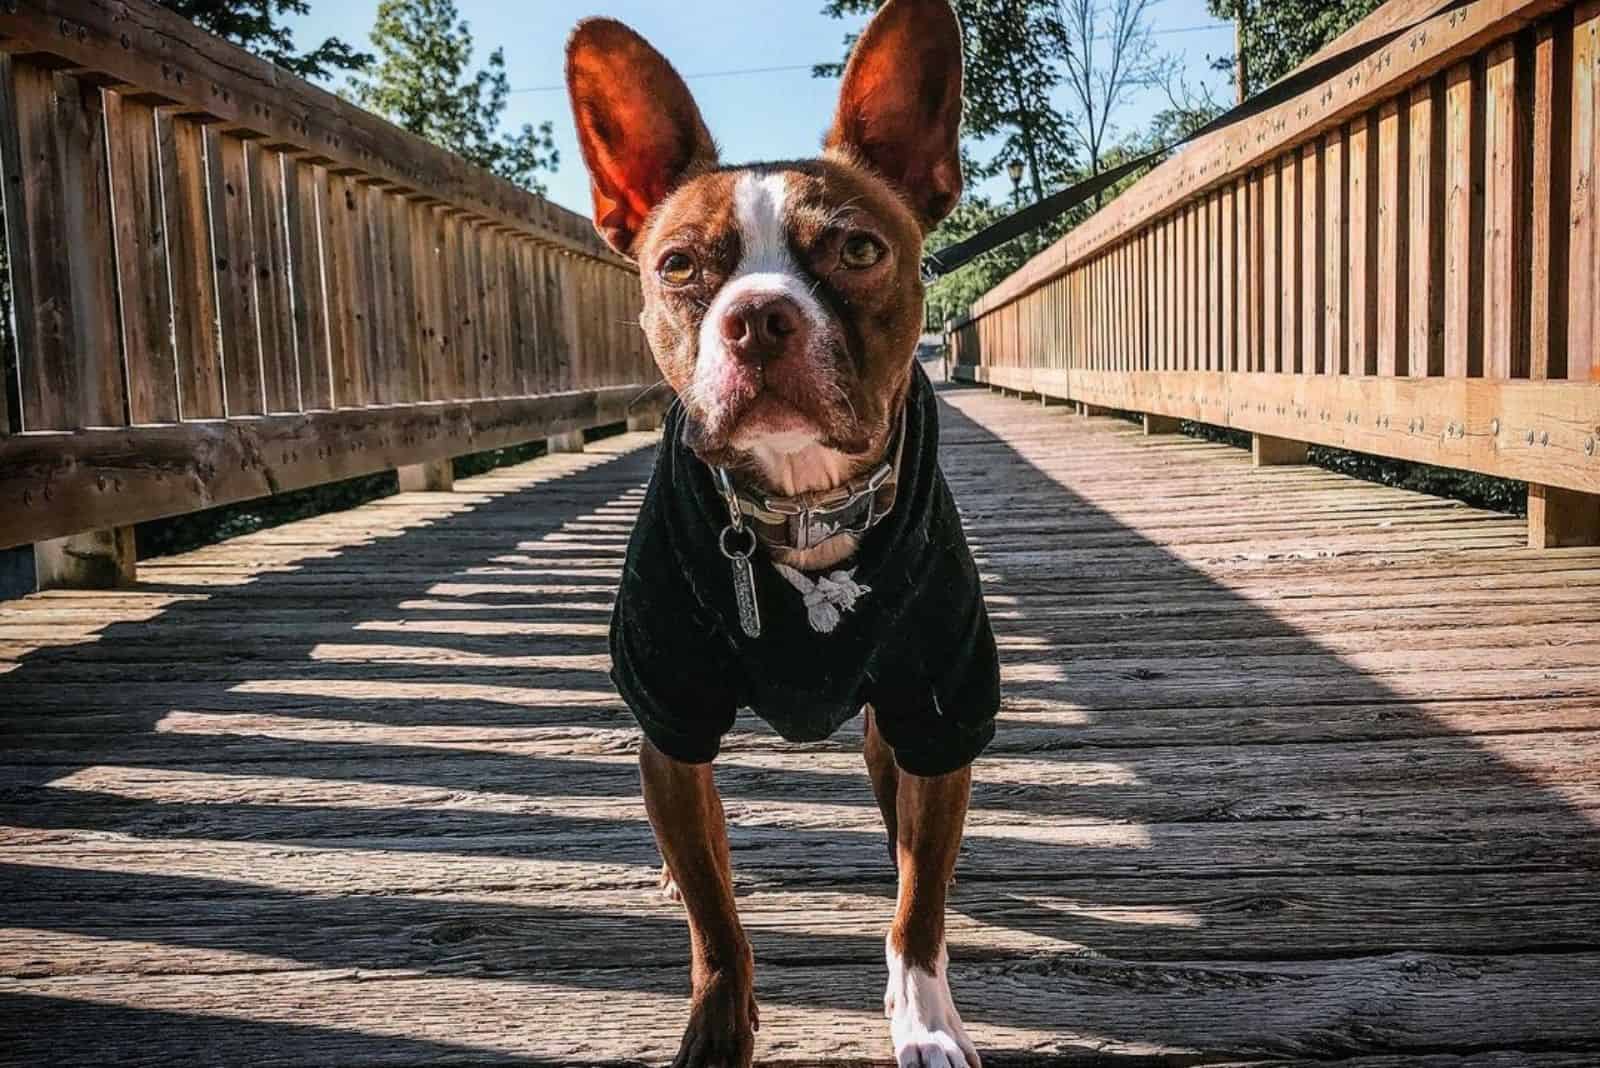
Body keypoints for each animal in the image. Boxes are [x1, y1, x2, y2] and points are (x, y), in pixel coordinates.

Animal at [569, 4, 992, 1061]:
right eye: (679, 267)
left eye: (859, 252)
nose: (758, 316)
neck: (802, 504)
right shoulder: (672, 721)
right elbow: (717, 921)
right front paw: (718, 1027)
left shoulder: (938, 712)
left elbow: (920, 904)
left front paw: (924, 1013)